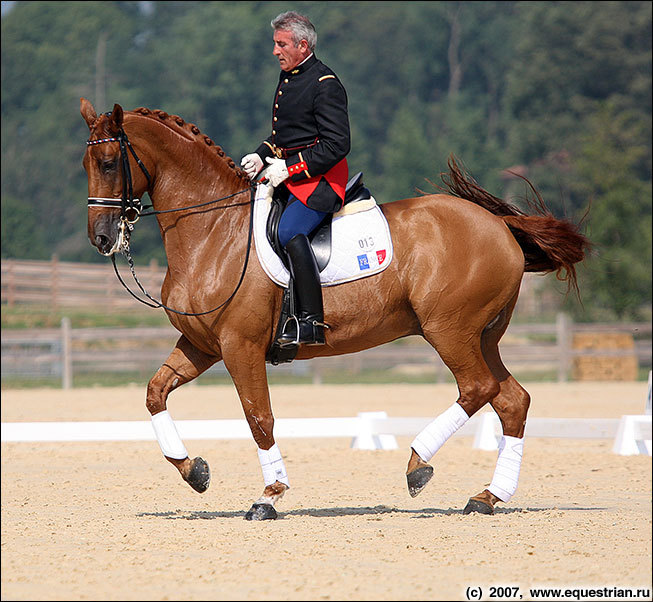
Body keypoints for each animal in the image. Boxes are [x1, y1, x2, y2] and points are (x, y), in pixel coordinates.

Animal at [79, 97, 588, 516]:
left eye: (108, 162)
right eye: (86, 163)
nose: (101, 238)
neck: (213, 230)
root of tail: (500, 226)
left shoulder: (240, 346)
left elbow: (259, 417)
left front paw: (269, 497)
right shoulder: (202, 344)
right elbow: (154, 393)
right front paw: (195, 471)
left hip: (450, 330)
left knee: (478, 389)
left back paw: (417, 464)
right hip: (483, 337)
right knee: (511, 400)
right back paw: (486, 497)